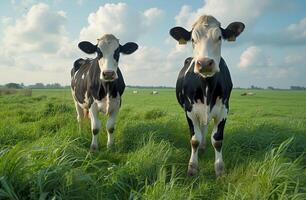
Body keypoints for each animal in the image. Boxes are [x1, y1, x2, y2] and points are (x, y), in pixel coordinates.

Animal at [169, 14, 245, 176]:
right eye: (192, 39)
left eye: (219, 37)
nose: (204, 63)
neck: (207, 87)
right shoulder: (189, 110)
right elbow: (194, 139)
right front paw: (192, 167)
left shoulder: (223, 110)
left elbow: (217, 140)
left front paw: (220, 169)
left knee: (204, 128)